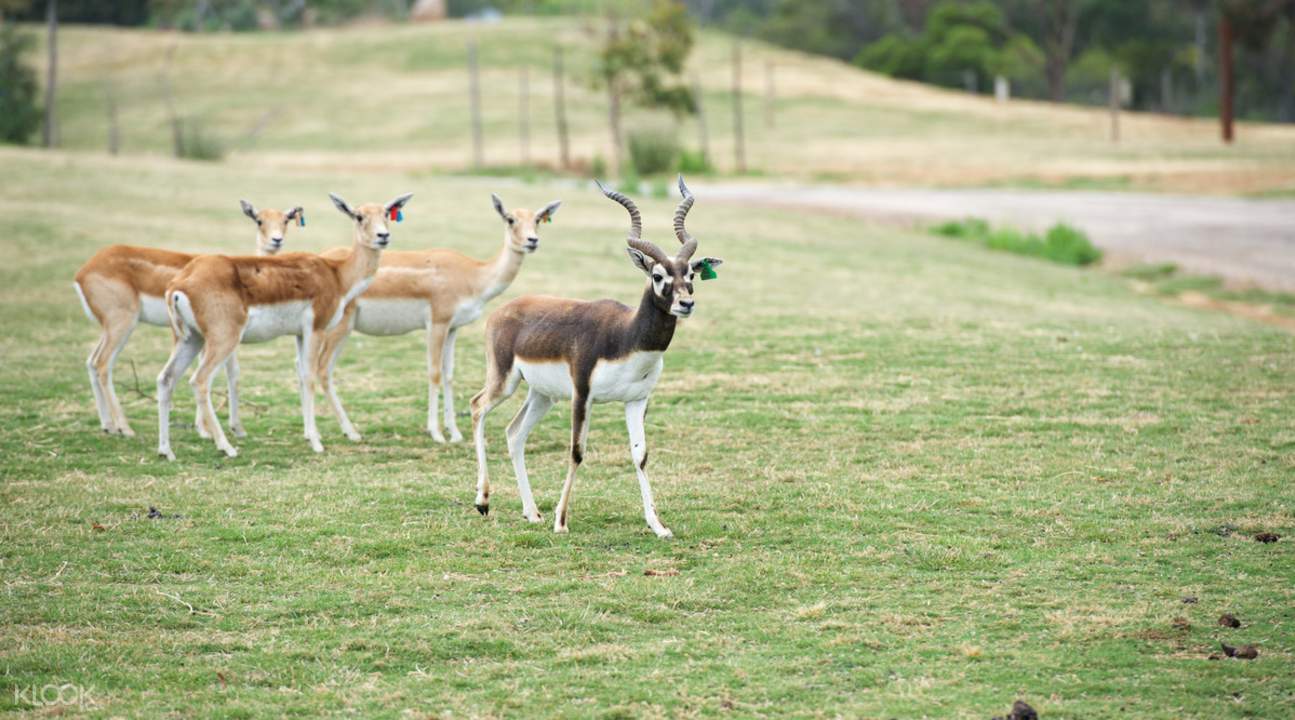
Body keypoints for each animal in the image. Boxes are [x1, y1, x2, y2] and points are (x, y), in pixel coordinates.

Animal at [74, 200, 301, 437]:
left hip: (110, 328)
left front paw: (226, 428)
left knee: (91, 362)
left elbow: (232, 373)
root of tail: (83, 271)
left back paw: (108, 425)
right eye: (259, 220)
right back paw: (125, 428)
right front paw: (212, 430)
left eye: (285, 220)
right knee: (102, 364)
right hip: (123, 324)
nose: (276, 240)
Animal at [155, 192, 409, 461]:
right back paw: (227, 447)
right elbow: (309, 376)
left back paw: (166, 450)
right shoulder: (316, 329)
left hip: (191, 339)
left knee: (166, 379)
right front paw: (317, 442)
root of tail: (181, 282)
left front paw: (309, 435)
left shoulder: (299, 334)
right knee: (199, 381)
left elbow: (300, 374)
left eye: (386, 213)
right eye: (359, 216)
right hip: (223, 339)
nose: (383, 236)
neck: (337, 275)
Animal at [313, 196, 562, 445]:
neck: (472, 274)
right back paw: (350, 432)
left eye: (537, 219)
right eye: (510, 219)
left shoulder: (453, 328)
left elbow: (449, 375)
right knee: (322, 369)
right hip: (339, 327)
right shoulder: (437, 323)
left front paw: (455, 432)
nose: (532, 241)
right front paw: (437, 433)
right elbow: (434, 372)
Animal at [471, 177, 725, 536]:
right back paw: (483, 501)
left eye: (690, 274)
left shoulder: (637, 400)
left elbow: (640, 455)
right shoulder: (582, 395)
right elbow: (577, 452)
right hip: (504, 380)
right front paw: (561, 522)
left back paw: (532, 512)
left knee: (514, 433)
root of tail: (503, 310)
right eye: (657, 276)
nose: (686, 304)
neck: (626, 336)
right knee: (477, 407)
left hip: (543, 395)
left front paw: (658, 525)